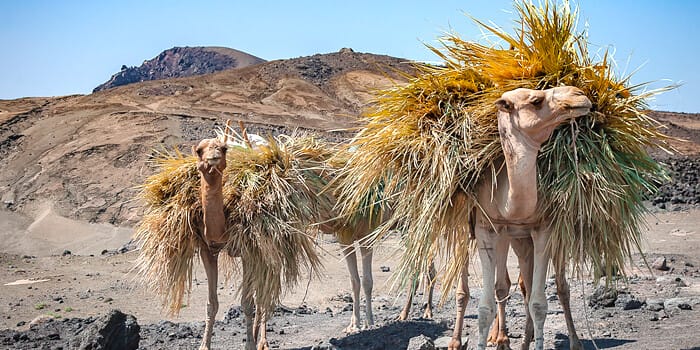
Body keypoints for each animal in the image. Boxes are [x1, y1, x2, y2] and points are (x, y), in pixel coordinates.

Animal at [446, 86, 588, 350]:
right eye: (536, 100)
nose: (579, 95)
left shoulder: (543, 228)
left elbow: (538, 303)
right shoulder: (486, 228)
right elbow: (485, 306)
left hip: (533, 238)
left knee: (544, 286)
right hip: (488, 234)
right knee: (497, 286)